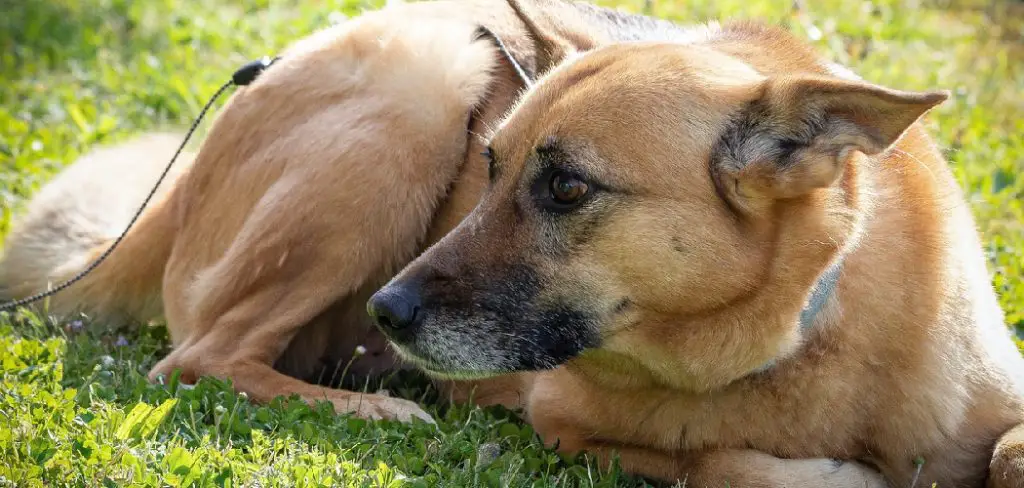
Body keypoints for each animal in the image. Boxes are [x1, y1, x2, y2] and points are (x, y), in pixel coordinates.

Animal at [2, 0, 1024, 484]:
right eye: (488, 166)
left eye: (565, 187)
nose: (388, 309)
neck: (807, 334)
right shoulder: (565, 419)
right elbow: (709, 460)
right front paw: (822, 474)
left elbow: (1005, 452)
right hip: (418, 88)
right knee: (198, 356)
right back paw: (378, 407)